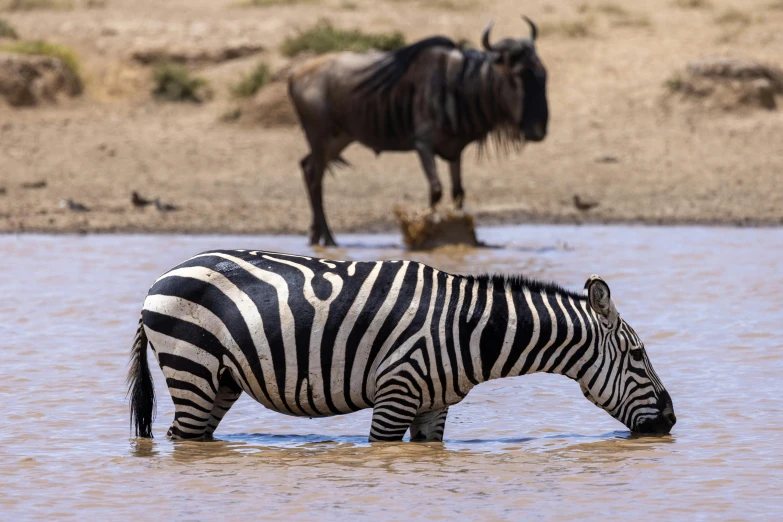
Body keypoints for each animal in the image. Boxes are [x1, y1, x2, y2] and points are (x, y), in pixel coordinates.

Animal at [127, 248, 672, 438]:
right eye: (638, 355)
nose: (670, 422)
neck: (467, 329)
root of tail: (160, 278)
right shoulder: (397, 392)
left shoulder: (433, 404)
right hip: (191, 368)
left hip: (220, 380)